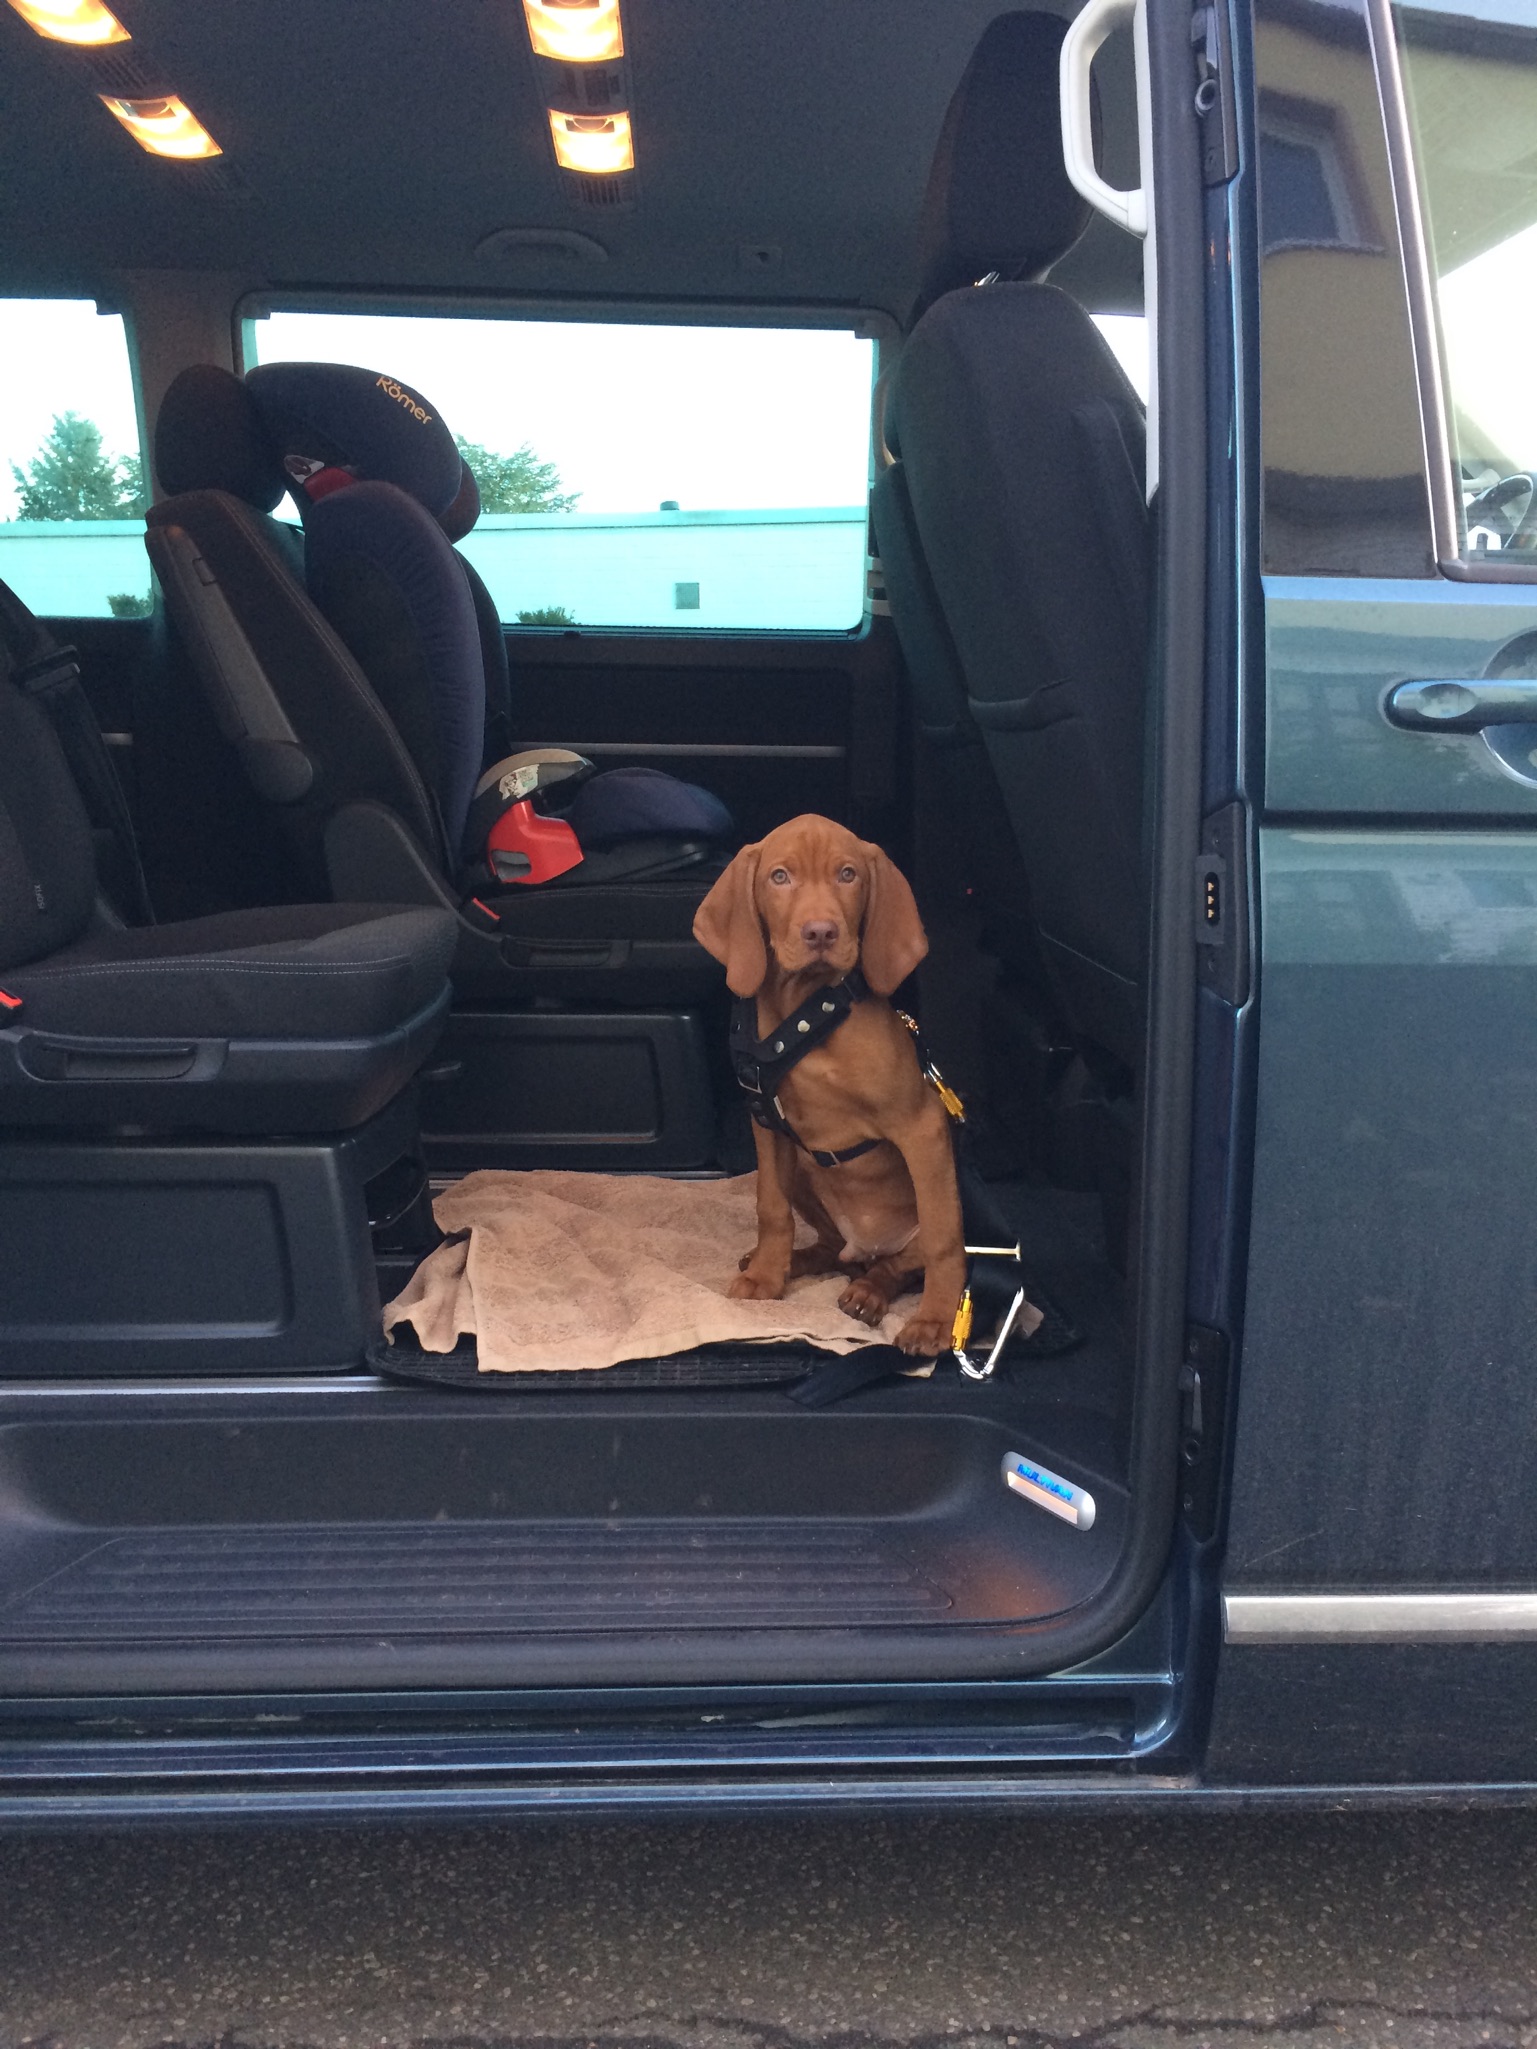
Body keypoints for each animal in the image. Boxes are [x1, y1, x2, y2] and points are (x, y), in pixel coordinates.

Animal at [696, 807, 967, 1352]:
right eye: (780, 877)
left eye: (848, 875)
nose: (820, 932)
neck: (807, 1011)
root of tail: (864, 1248)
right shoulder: (766, 1123)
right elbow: (770, 1207)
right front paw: (766, 1276)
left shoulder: (923, 1126)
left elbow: (943, 1239)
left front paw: (935, 1320)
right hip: (803, 1170)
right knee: (831, 1246)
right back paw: (794, 1262)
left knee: (901, 1263)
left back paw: (869, 1292)